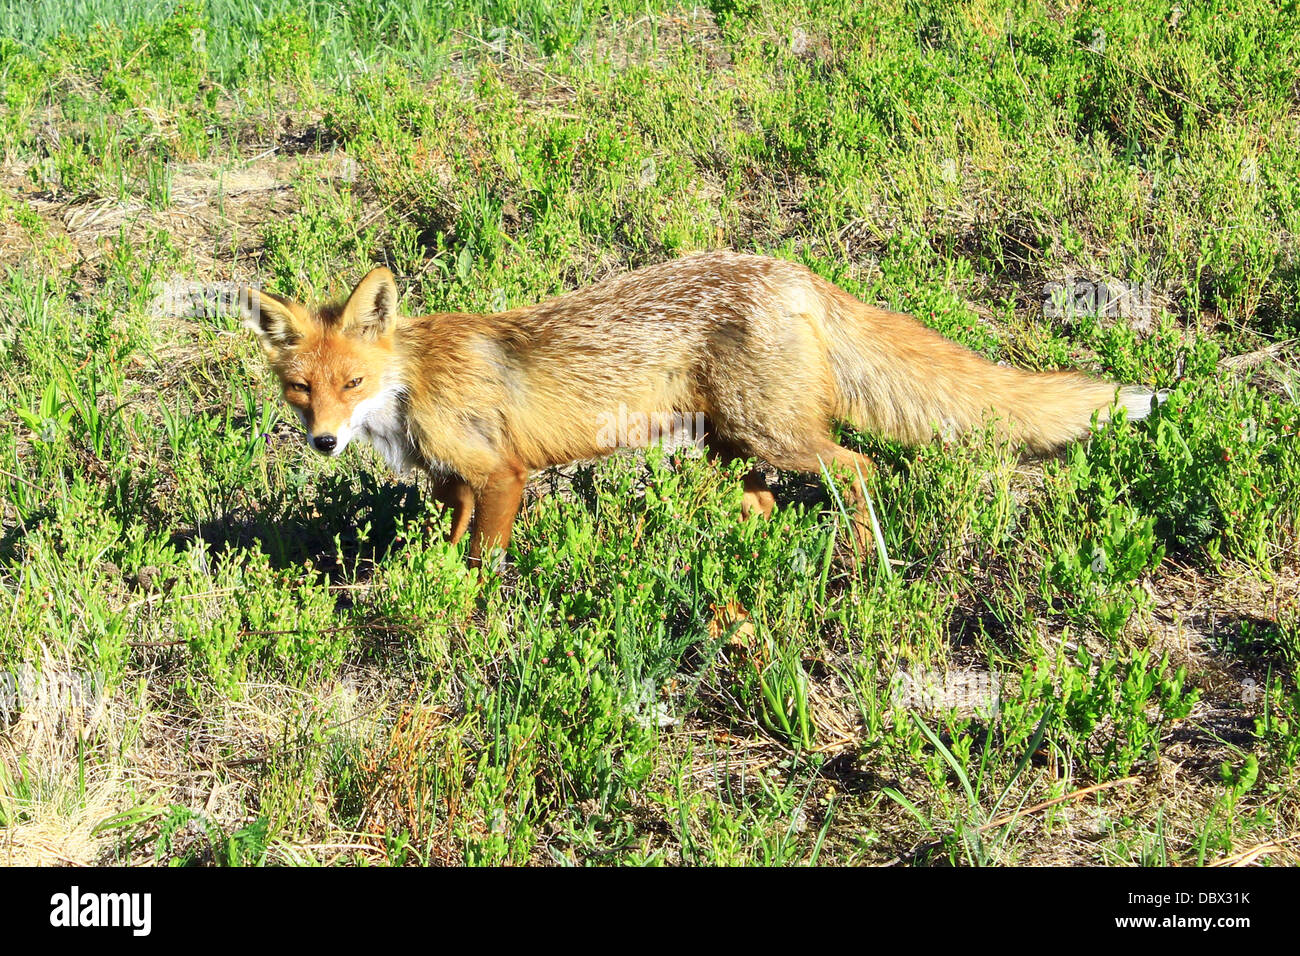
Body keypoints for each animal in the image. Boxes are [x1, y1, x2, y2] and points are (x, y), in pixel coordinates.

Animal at [239, 254, 1154, 567]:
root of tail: (790, 268)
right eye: (302, 389)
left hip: (777, 435)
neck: (411, 388)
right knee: (759, 506)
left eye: (353, 383)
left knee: (857, 466)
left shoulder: (502, 478)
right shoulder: (452, 486)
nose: (323, 443)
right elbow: (446, 548)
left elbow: (480, 564)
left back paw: (868, 558)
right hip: (731, 446)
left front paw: (467, 620)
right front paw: (422, 589)